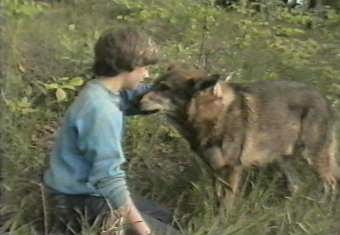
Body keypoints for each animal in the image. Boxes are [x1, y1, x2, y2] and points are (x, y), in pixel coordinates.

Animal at [140, 65, 340, 199]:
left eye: (165, 88)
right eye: (155, 85)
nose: (136, 101)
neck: (213, 115)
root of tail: (325, 100)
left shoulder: (233, 169)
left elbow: (226, 205)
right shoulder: (215, 170)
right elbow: (217, 202)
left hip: (312, 158)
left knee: (330, 185)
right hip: (283, 160)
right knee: (297, 186)